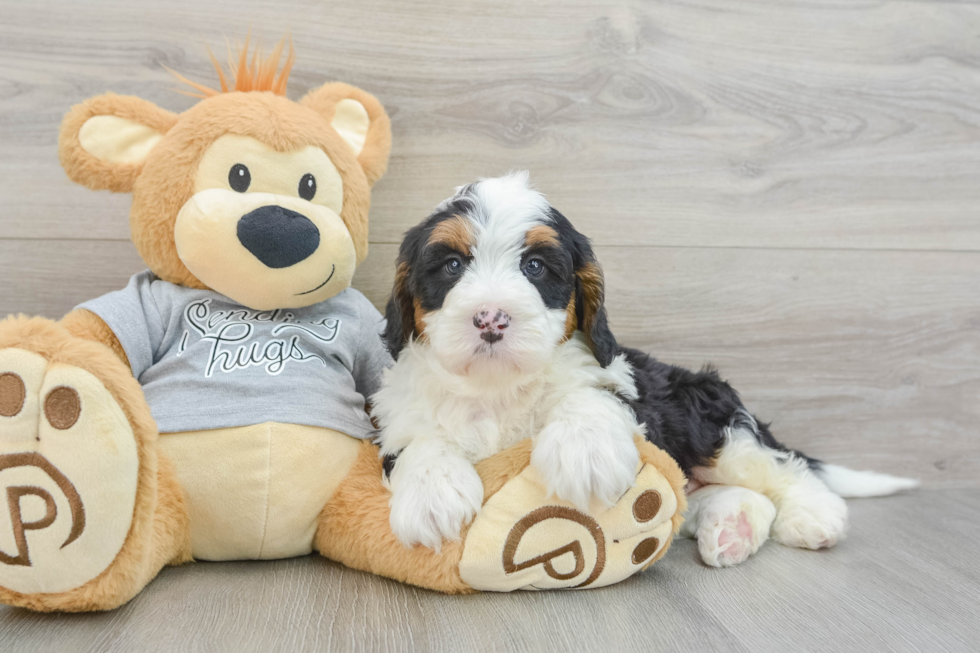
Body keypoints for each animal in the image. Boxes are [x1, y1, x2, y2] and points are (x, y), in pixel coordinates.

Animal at [370, 173, 920, 564]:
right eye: (451, 266)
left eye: (535, 267)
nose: (490, 317)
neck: (497, 389)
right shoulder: (396, 418)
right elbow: (418, 440)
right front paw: (432, 494)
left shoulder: (621, 385)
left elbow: (589, 396)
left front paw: (584, 453)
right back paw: (733, 528)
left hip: (709, 418)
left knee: (780, 467)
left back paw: (814, 514)